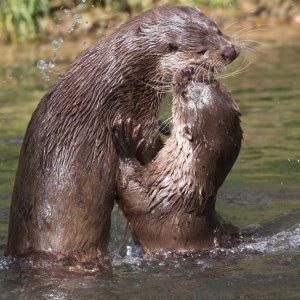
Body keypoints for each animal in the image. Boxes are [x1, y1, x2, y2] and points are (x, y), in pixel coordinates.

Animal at [113, 67, 243, 253]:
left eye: (184, 94)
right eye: (212, 82)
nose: (188, 70)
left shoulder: (154, 200)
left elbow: (127, 187)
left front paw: (126, 141)